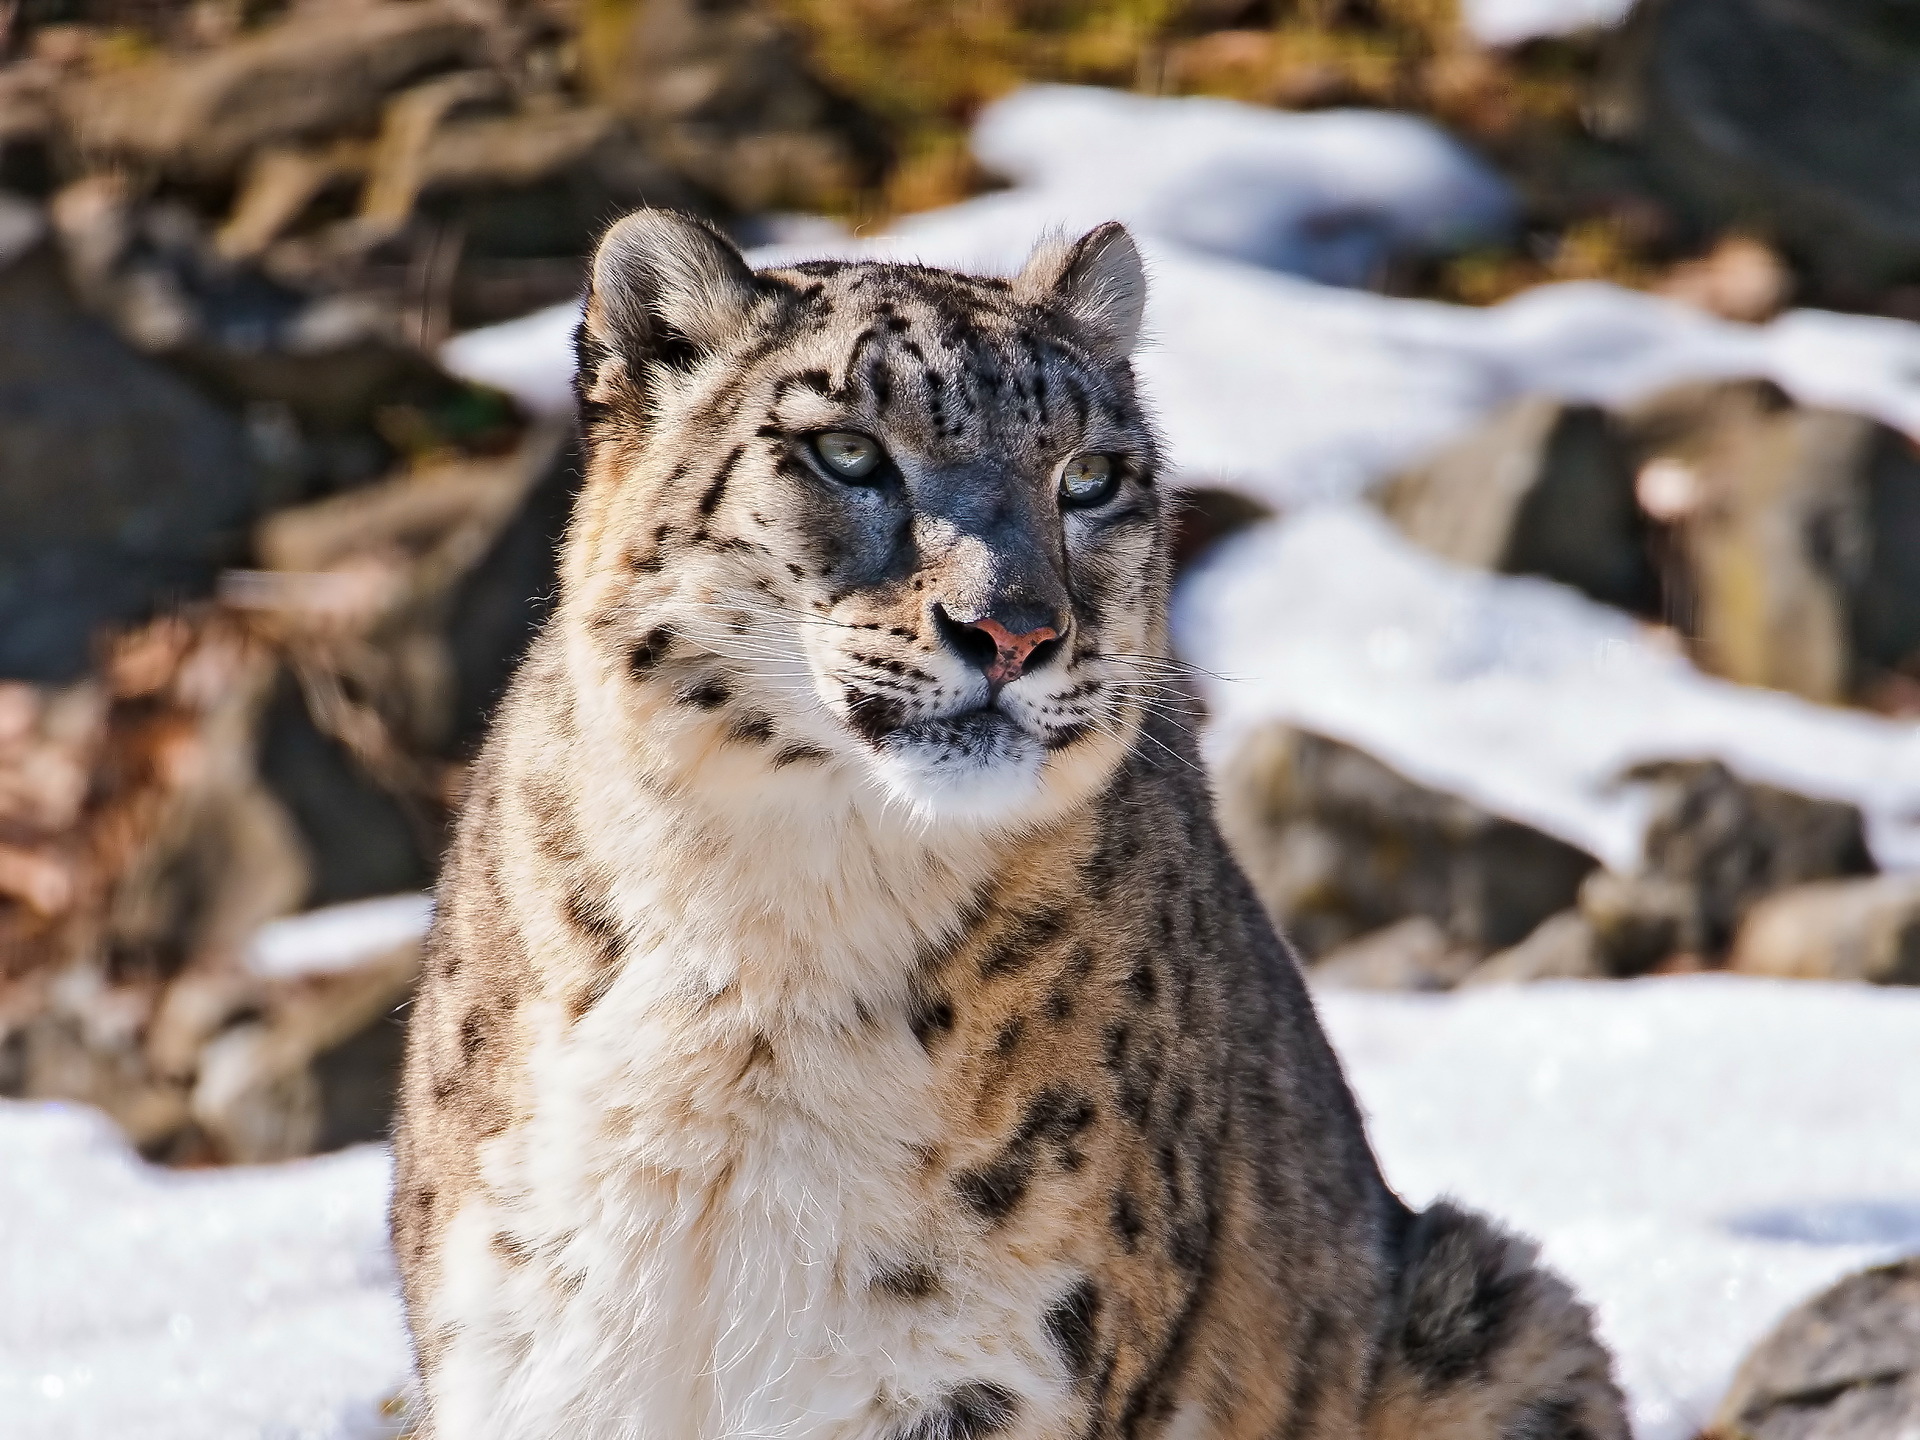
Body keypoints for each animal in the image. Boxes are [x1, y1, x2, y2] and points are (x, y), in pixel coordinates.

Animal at [397, 205, 1628, 1440]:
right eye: (847, 452)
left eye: (1090, 477)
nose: (1015, 631)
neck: (767, 941)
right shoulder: (528, 1351)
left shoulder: (979, 1372)